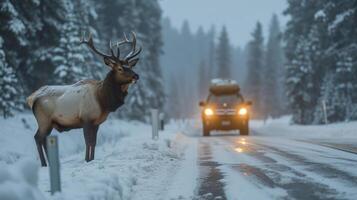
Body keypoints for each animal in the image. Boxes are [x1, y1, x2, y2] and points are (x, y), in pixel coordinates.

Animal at [27, 31, 142, 166]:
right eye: (120, 68)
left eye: (130, 66)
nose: (136, 76)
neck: (103, 100)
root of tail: (31, 98)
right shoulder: (86, 119)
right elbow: (88, 142)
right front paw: (87, 160)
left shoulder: (96, 122)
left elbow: (94, 142)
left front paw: (91, 159)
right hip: (44, 120)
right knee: (38, 137)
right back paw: (44, 164)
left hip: (48, 123)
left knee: (43, 139)